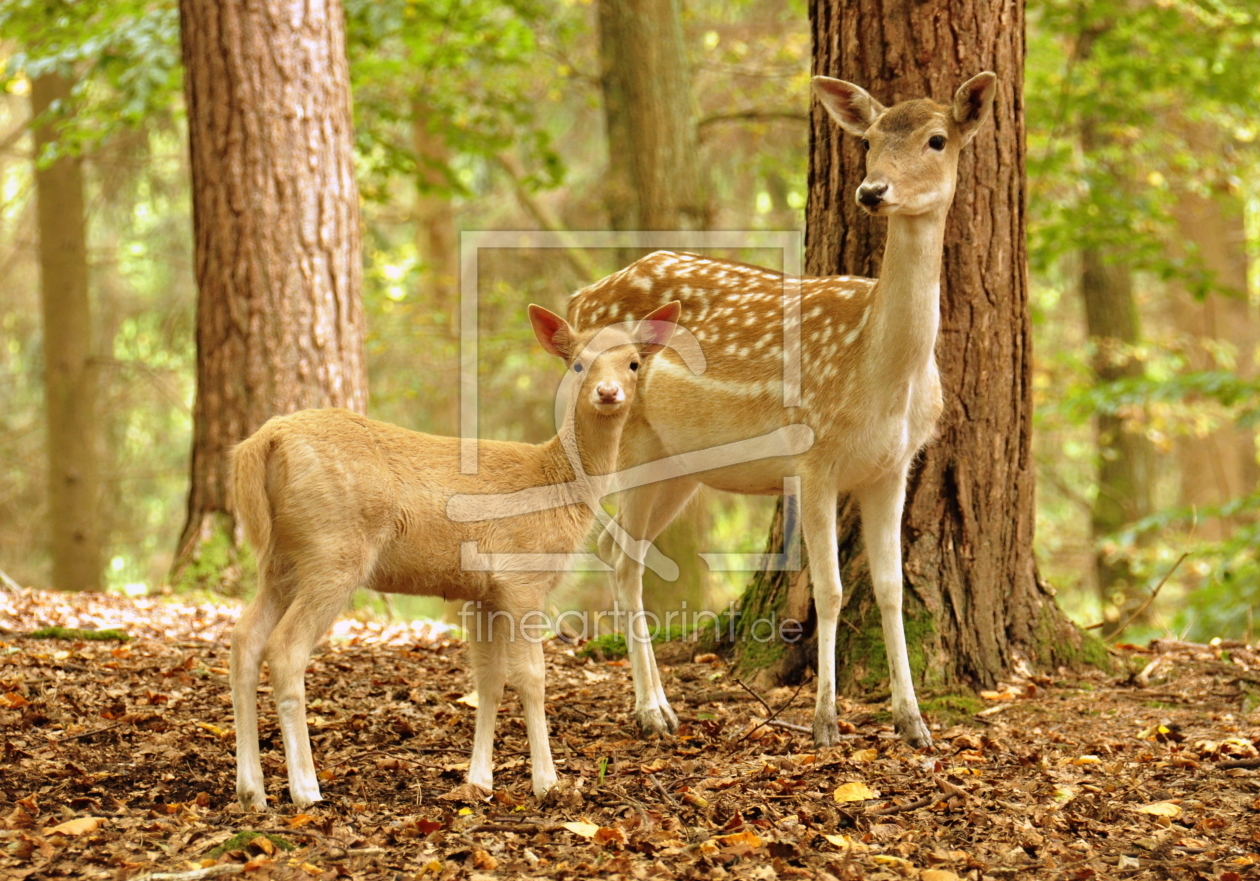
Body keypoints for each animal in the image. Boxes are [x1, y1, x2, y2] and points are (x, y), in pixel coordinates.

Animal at [226, 301, 680, 806]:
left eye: (634, 364)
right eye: (578, 363)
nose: (608, 391)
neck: (558, 486)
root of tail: (261, 443)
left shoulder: (483, 591)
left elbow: (488, 681)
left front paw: (479, 781)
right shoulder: (522, 576)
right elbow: (532, 676)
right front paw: (547, 783)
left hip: (282, 557)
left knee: (245, 637)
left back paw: (252, 791)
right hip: (334, 548)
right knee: (285, 648)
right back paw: (306, 789)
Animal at [569, 74, 992, 751]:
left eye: (937, 139)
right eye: (869, 140)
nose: (872, 191)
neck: (882, 374)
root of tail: (578, 298)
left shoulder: (893, 466)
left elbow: (892, 588)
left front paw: (914, 724)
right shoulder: (813, 457)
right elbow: (830, 590)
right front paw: (825, 723)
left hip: (678, 464)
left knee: (616, 549)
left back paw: (661, 705)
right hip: (628, 441)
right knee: (623, 555)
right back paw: (652, 711)